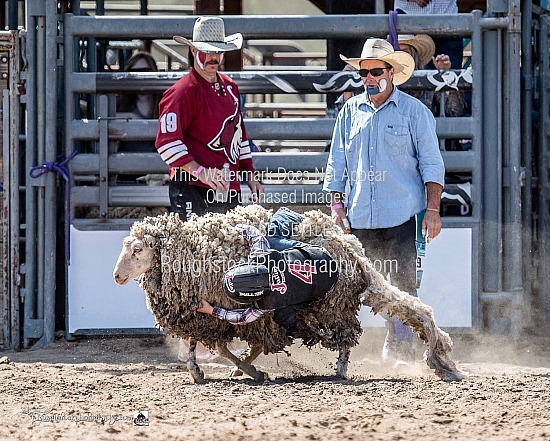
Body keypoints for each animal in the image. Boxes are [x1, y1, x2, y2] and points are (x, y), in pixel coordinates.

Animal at [114, 205, 468, 384]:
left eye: (137, 250)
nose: (116, 276)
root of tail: (352, 250)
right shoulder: (207, 318)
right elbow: (199, 346)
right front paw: (204, 370)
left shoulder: (229, 314)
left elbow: (222, 346)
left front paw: (248, 370)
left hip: (329, 307)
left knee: (345, 337)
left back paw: (340, 370)